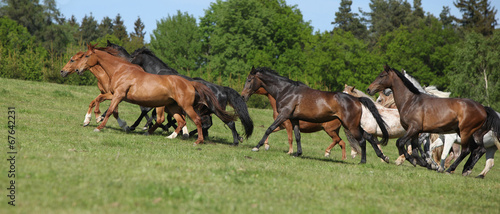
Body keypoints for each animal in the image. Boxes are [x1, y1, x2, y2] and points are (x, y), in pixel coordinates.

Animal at [62, 43, 234, 145]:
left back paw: (198, 140)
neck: (121, 70)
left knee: (197, 121)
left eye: (86, 56)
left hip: (185, 106)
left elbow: (110, 110)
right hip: (173, 106)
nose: (77, 70)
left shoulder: (118, 95)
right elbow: (100, 102)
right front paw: (92, 119)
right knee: (180, 121)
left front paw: (99, 125)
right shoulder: (115, 94)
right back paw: (170, 136)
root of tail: (190, 83)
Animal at [106, 41, 254, 145]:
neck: (158, 72)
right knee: (208, 124)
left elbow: (149, 113)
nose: (127, 63)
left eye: (134, 56)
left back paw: (234, 141)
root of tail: (223, 89)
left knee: (228, 123)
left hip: (214, 110)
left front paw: (136, 126)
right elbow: (157, 115)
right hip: (207, 111)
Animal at [240, 66, 388, 162]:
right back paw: (383, 157)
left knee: (362, 140)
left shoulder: (284, 115)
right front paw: (297, 153)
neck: (287, 91)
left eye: (249, 80)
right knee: (368, 137)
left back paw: (363, 161)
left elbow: (269, 129)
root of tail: (356, 99)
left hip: (350, 126)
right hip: (353, 125)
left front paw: (256, 147)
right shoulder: (294, 119)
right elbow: (297, 136)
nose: (242, 96)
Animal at [366, 65, 500, 176]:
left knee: (466, 151)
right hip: (474, 135)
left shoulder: (414, 129)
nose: (369, 89)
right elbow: (416, 150)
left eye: (382, 75)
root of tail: (483, 108)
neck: (411, 101)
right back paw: (466, 170)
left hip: (465, 132)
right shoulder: (415, 132)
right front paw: (424, 163)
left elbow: (401, 143)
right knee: (479, 150)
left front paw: (417, 162)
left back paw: (451, 169)